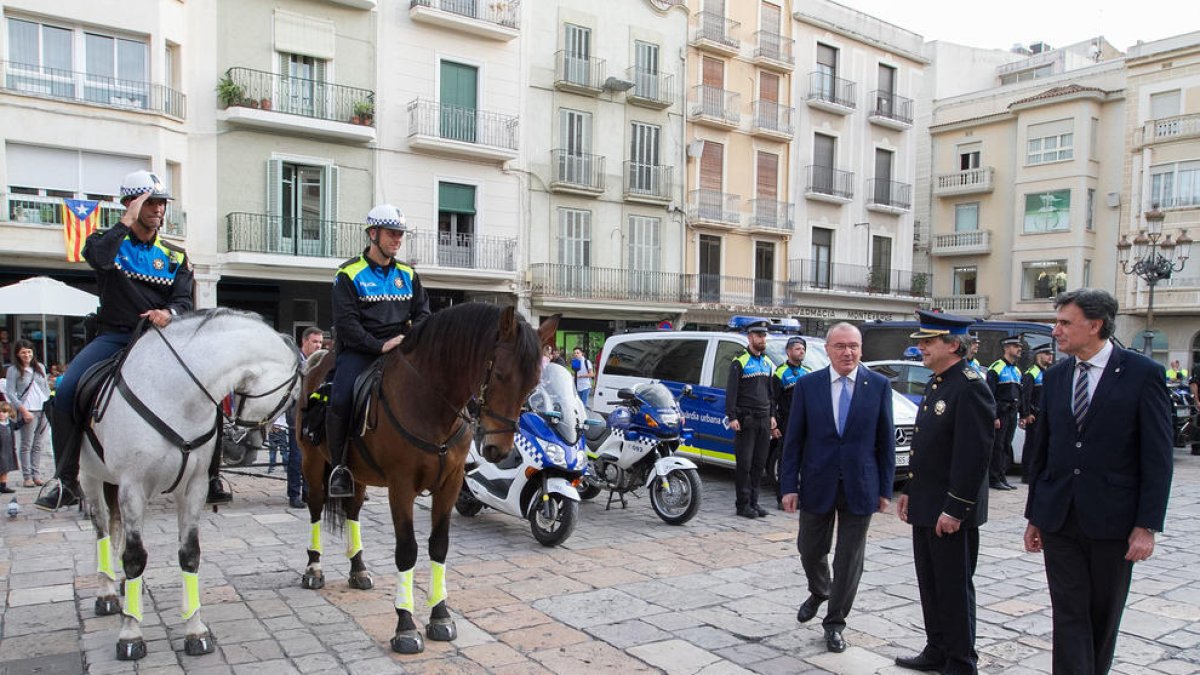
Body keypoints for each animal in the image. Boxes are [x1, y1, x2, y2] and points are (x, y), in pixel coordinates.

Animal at [79, 309, 300, 658]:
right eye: (291, 397)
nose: (245, 446)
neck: (174, 393)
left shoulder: (193, 487)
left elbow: (189, 554)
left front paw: (195, 629)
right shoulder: (132, 486)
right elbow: (134, 557)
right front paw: (130, 634)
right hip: (90, 476)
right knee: (101, 529)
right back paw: (107, 594)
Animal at [295, 302, 552, 648]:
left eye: (533, 384)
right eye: (500, 374)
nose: (499, 449)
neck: (430, 404)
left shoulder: (450, 484)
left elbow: (438, 546)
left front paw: (440, 615)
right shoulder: (400, 487)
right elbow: (407, 550)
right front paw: (405, 625)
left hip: (357, 474)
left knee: (352, 510)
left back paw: (358, 569)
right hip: (311, 462)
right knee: (314, 506)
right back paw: (313, 568)